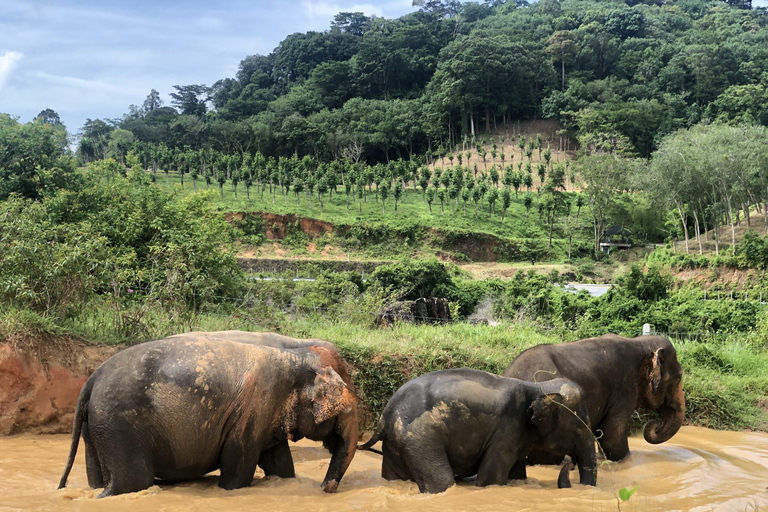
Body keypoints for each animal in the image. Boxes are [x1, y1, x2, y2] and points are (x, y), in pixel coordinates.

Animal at [58, 338, 358, 498]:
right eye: (344, 410)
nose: (325, 488)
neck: (294, 356)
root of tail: (92, 379)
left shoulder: (267, 415)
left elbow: (280, 464)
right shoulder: (254, 408)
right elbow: (238, 465)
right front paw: (228, 489)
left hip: (97, 425)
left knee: (97, 473)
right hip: (120, 423)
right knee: (133, 482)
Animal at [356, 366, 596, 494]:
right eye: (579, 429)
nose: (570, 464)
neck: (539, 387)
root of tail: (384, 416)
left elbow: (517, 474)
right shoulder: (506, 433)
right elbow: (491, 479)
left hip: (397, 441)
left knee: (394, 476)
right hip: (418, 437)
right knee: (442, 482)